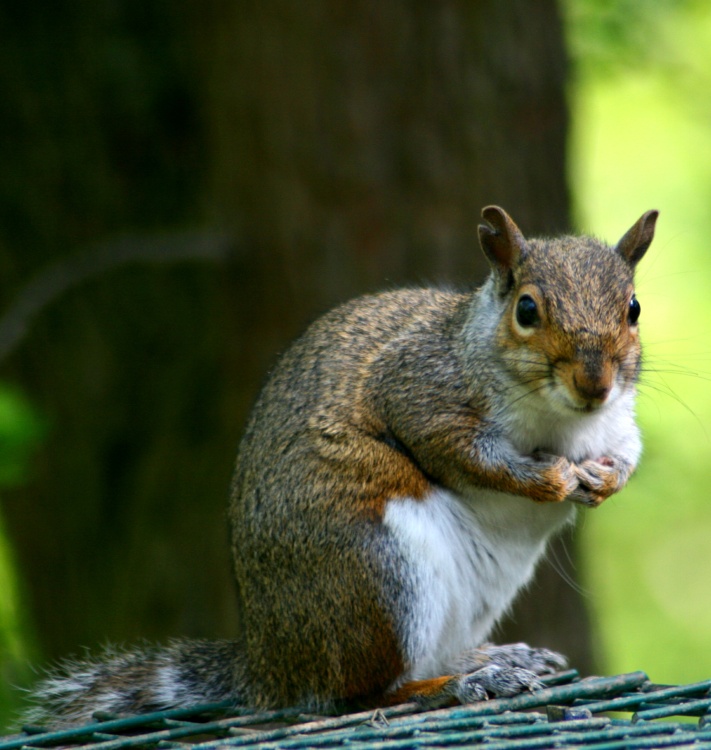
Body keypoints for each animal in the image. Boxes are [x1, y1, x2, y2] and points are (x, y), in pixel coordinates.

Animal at [27, 205, 658, 726]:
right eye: (527, 309)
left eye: (633, 308)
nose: (594, 383)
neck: (563, 422)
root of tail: (272, 668)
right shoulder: (418, 389)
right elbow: (460, 451)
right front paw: (550, 479)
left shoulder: (616, 421)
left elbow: (628, 452)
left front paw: (605, 480)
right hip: (376, 573)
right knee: (365, 693)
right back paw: (461, 683)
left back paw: (488, 658)